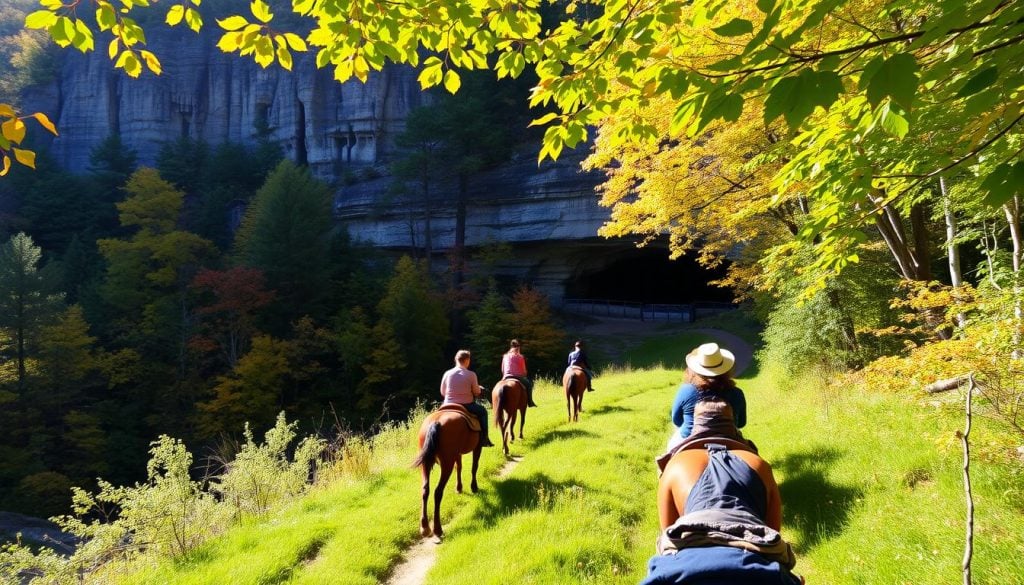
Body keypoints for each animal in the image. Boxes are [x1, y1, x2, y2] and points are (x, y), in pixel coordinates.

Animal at [409, 405, 481, 536]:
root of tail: (435, 423)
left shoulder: (457, 453)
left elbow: (459, 467)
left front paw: (459, 488)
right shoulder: (477, 447)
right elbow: (474, 466)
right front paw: (474, 487)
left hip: (426, 464)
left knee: (425, 490)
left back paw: (425, 527)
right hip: (446, 464)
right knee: (438, 492)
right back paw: (437, 529)